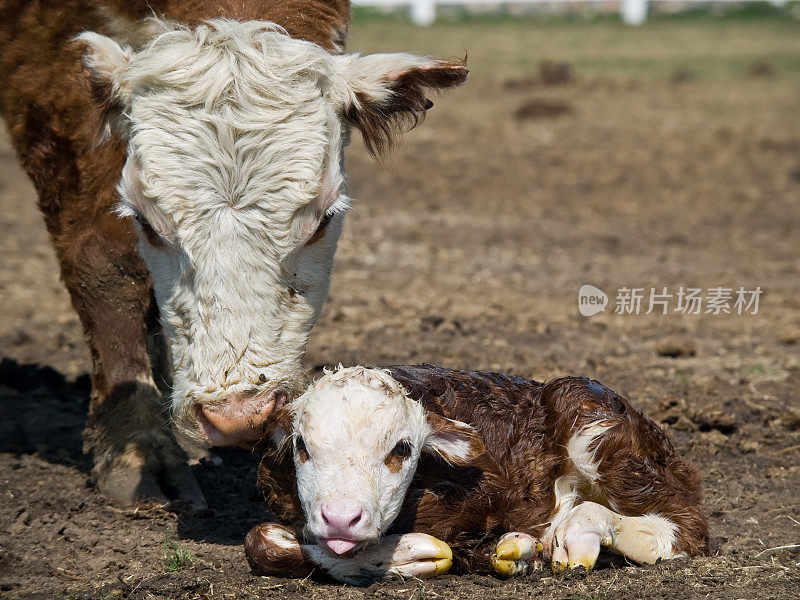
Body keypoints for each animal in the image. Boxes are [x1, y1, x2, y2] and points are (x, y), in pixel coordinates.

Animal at [244, 364, 712, 584]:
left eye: (402, 448)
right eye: (301, 446)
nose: (341, 518)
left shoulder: (484, 495)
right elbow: (260, 542)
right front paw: (408, 555)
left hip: (592, 415)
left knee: (684, 527)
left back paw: (580, 531)